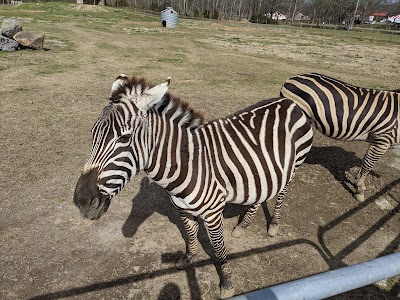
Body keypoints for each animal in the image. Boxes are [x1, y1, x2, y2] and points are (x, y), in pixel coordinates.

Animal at [73, 74, 314, 298]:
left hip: (295, 165)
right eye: (92, 134)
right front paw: (188, 258)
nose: (82, 201)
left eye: (124, 138)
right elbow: (190, 235)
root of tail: (289, 102)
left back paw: (273, 225)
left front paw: (226, 283)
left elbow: (218, 247)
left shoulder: (213, 213)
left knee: (282, 193)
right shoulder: (182, 209)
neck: (188, 165)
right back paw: (243, 225)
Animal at [280, 72, 398, 202]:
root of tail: (290, 79)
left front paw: (359, 183)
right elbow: (368, 164)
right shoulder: (382, 139)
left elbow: (364, 163)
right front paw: (359, 190)